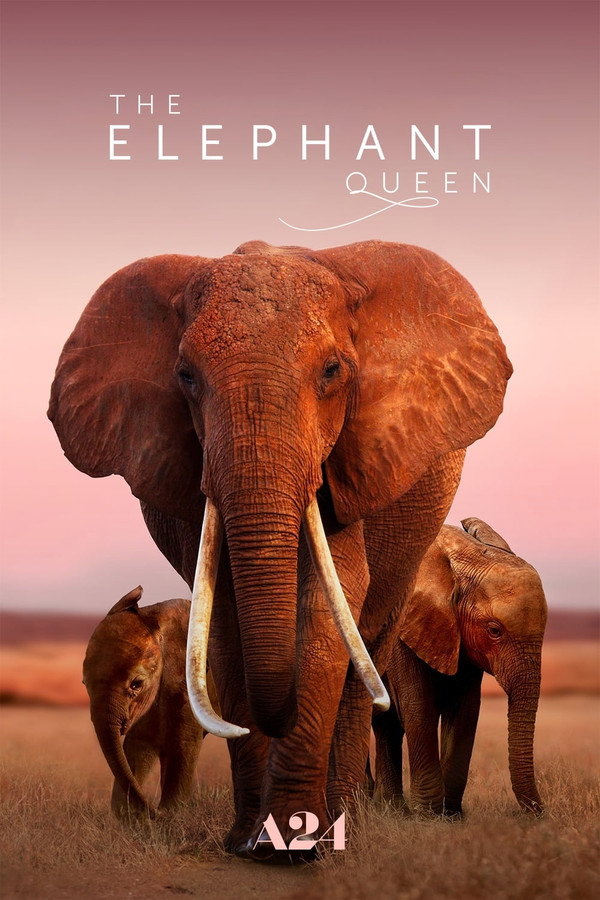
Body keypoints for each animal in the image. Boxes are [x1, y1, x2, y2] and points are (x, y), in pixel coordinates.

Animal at [83, 586, 206, 818]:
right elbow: (138, 744)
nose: (154, 810)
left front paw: (172, 812)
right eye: (84, 683)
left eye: (136, 684)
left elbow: (183, 744)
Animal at [373, 518, 547, 816]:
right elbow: (418, 706)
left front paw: (452, 815)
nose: (540, 811)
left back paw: (387, 808)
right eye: (494, 630)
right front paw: (427, 815)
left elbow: (465, 710)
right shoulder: (402, 628)